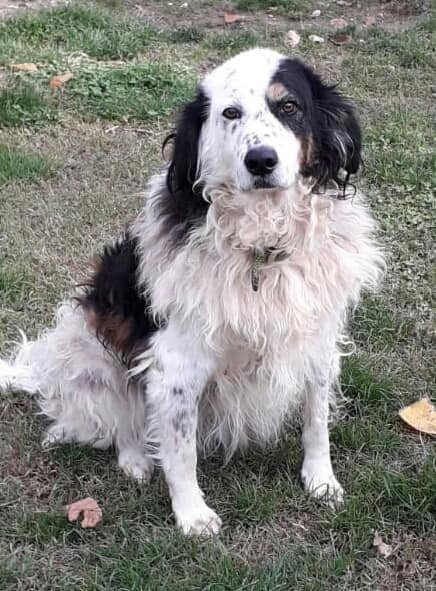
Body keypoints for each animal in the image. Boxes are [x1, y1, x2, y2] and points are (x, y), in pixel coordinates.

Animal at [0, 48, 384, 535]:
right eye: (230, 113)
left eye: (289, 107)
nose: (261, 160)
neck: (261, 250)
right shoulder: (177, 366)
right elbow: (181, 451)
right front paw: (192, 515)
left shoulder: (317, 343)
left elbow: (317, 421)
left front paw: (320, 481)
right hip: (92, 352)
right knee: (120, 422)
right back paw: (135, 460)